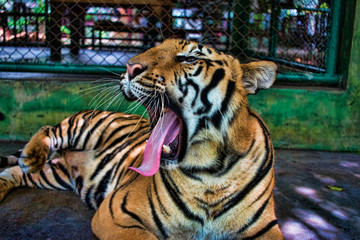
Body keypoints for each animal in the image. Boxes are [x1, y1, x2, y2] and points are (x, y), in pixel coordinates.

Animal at [0, 39, 284, 240]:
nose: (129, 67)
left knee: (15, 172)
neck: (210, 172)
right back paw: (31, 155)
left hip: (56, 175)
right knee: (48, 129)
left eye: (189, 58)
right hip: (82, 127)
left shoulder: (264, 229)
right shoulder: (117, 211)